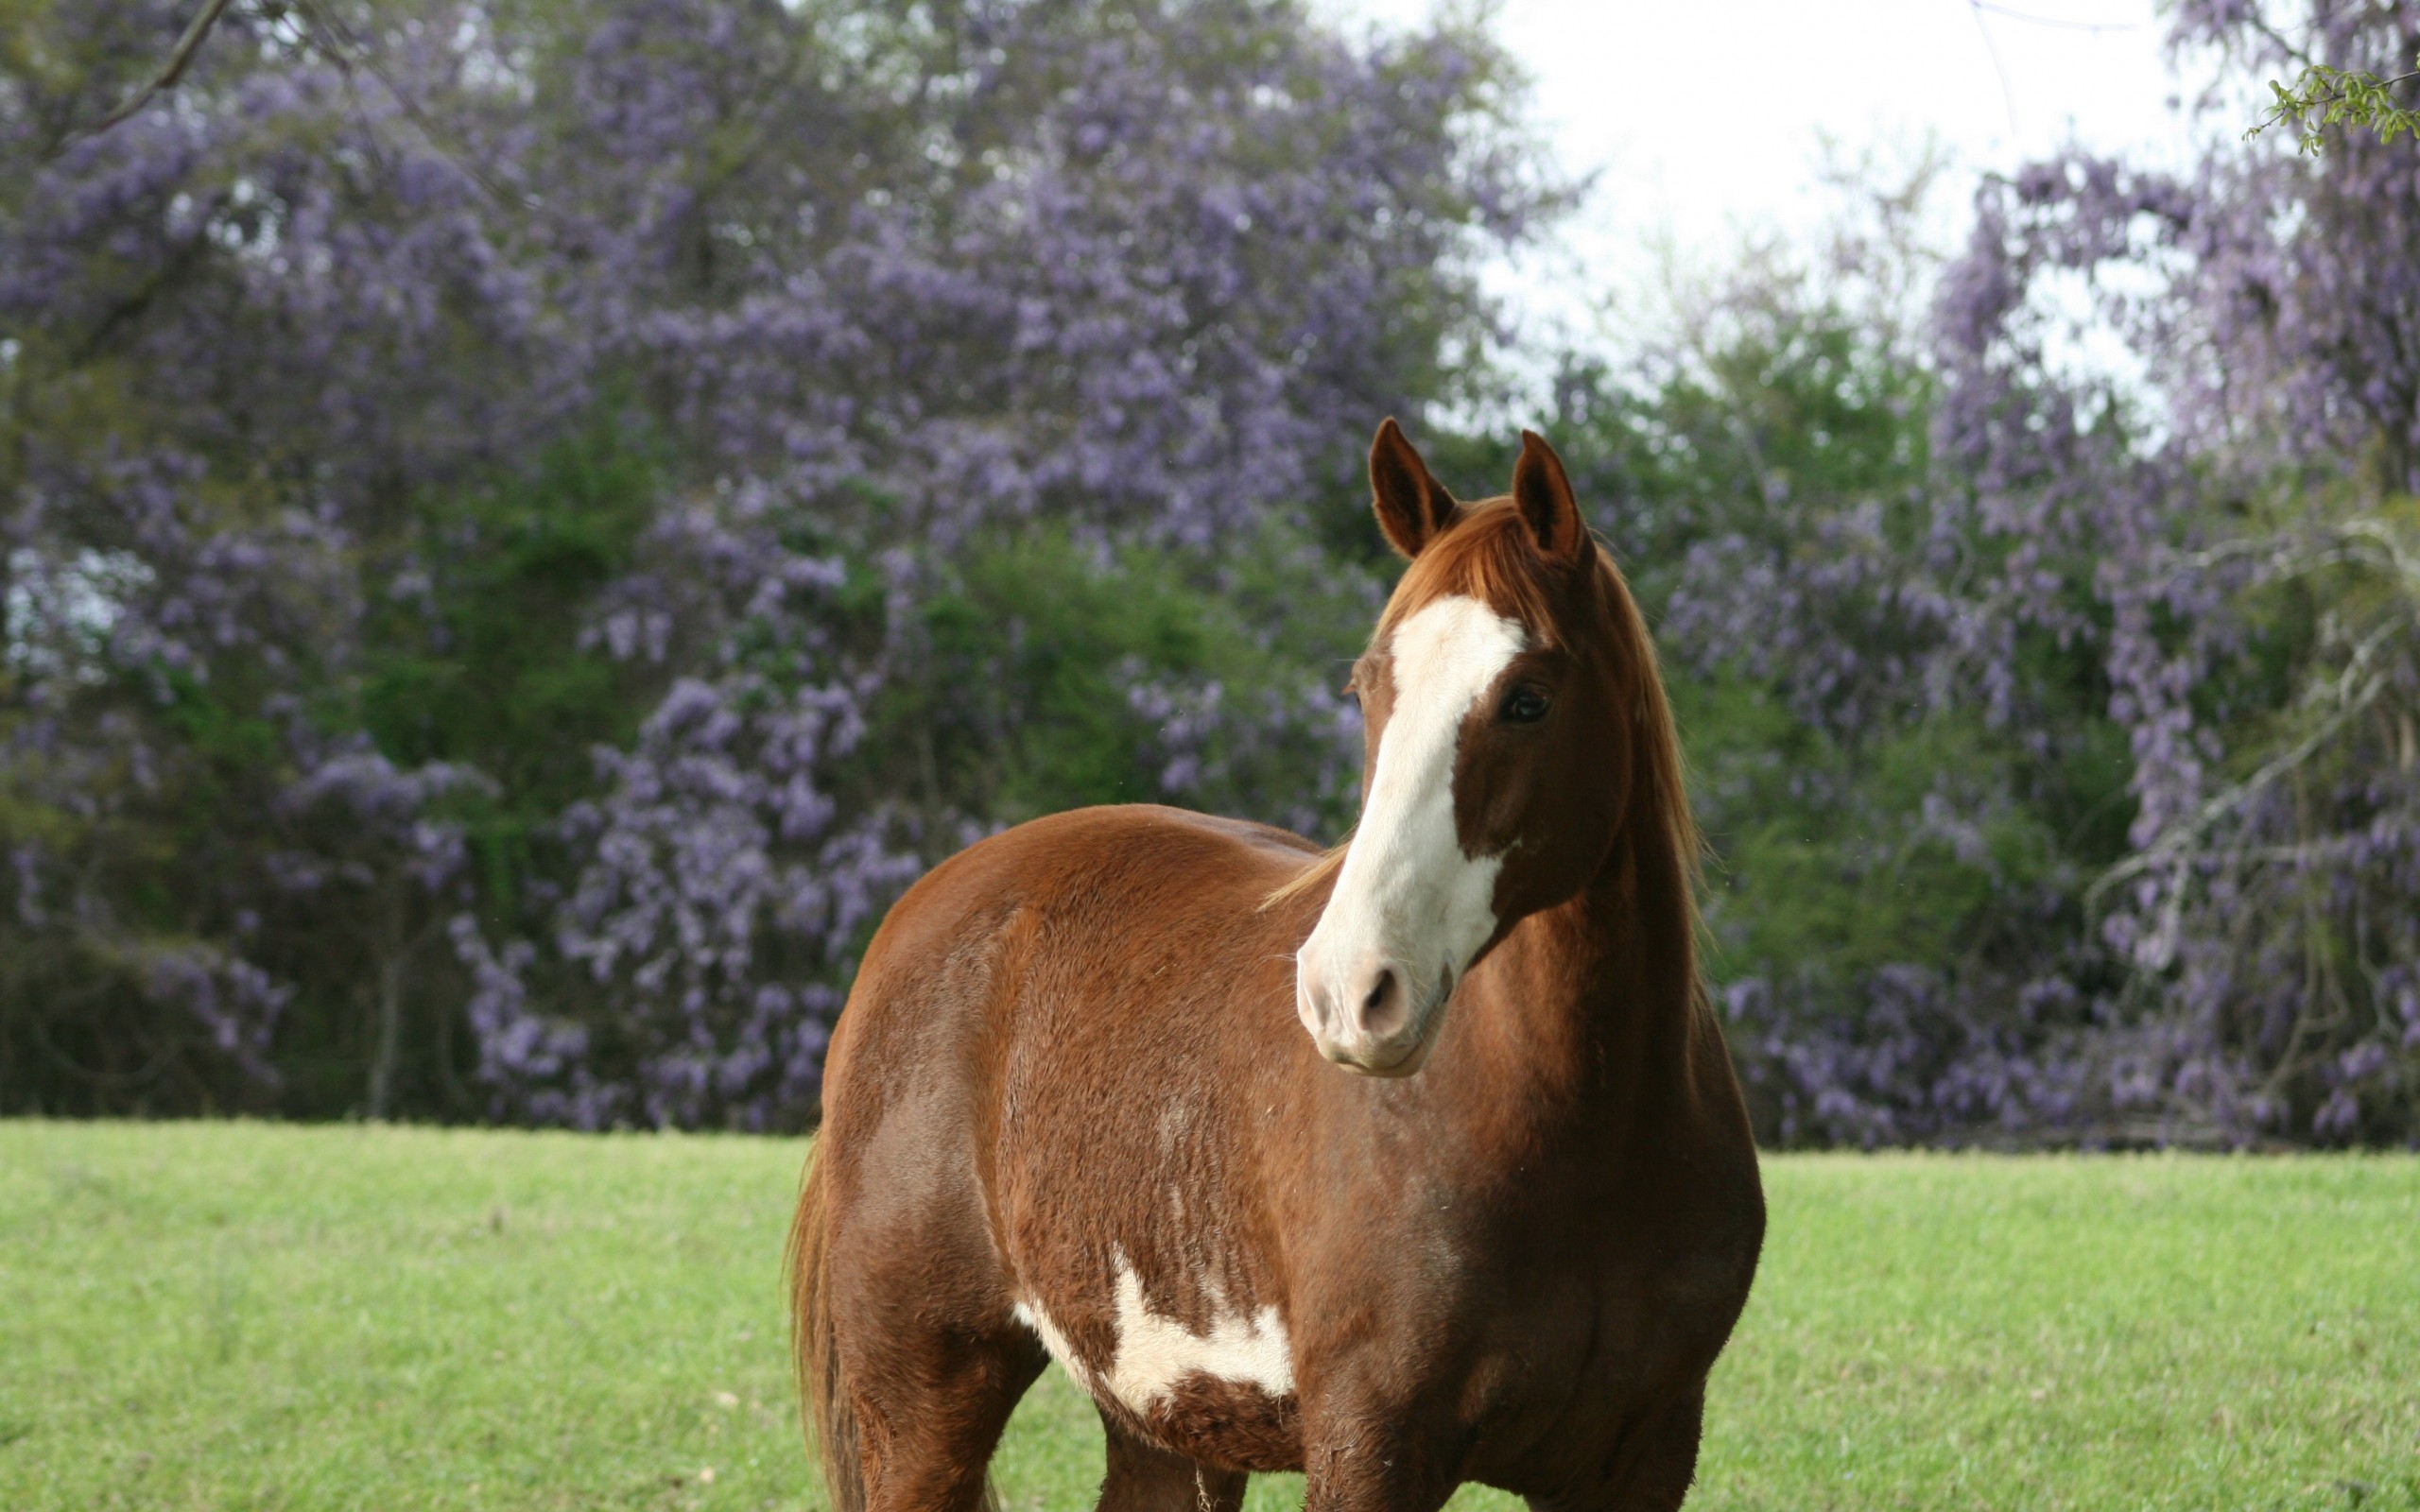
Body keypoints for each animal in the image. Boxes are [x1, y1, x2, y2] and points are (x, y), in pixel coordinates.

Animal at [789, 420, 1765, 1512]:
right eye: (1369, 687)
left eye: (1527, 700)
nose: (1350, 992)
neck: (1580, 1135)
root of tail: (922, 908)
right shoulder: (1370, 1446)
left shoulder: (1639, 1459)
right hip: (924, 1403)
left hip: (1167, 1428)